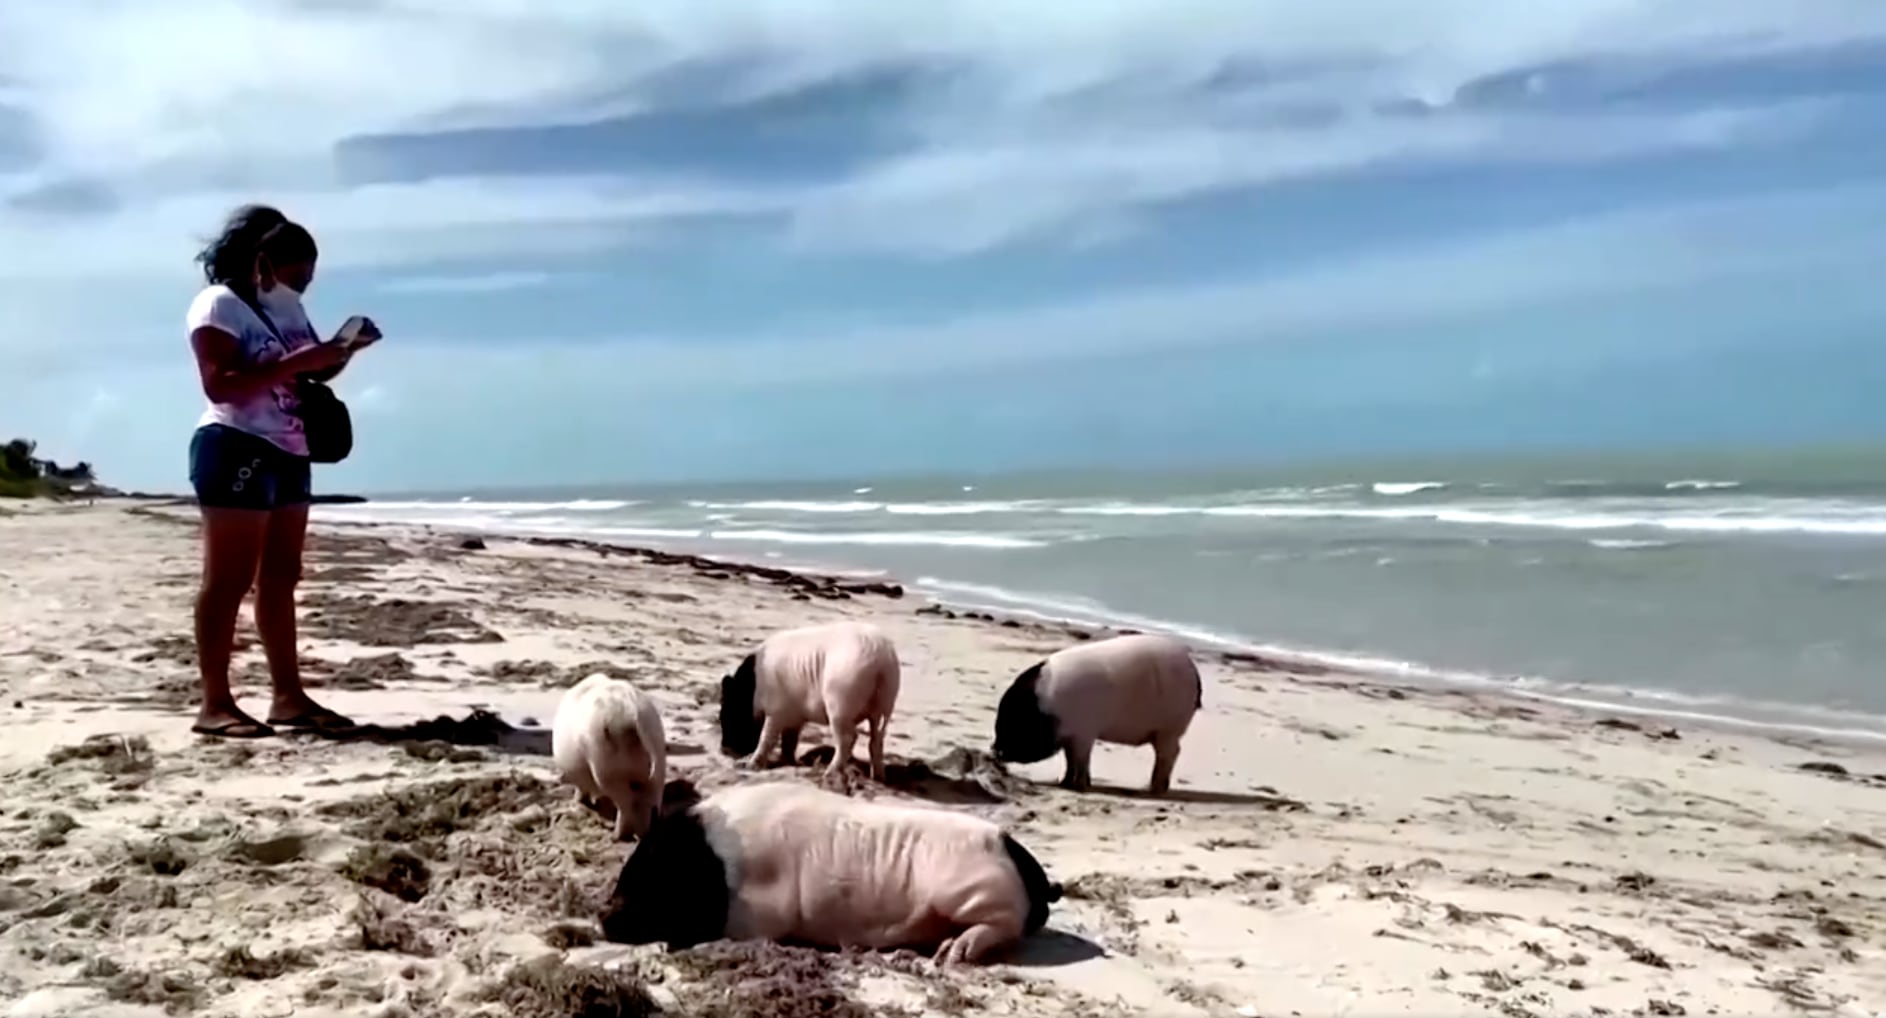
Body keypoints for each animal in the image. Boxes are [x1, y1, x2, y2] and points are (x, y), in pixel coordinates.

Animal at [551, 672, 668, 841]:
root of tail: (632, 712)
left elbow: (581, 789)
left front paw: (580, 802)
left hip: (607, 765)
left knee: (626, 803)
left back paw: (616, 836)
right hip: (658, 756)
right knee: (650, 799)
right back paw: (642, 835)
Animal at [599, 779, 1062, 964]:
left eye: (655, 875)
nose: (603, 915)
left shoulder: (763, 912)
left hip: (973, 888)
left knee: (1002, 925)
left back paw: (953, 955)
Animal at [718, 620, 900, 783]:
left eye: (727, 714)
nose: (724, 750)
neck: (753, 687)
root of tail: (880, 659)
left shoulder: (775, 711)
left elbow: (767, 737)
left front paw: (751, 765)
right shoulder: (795, 717)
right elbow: (790, 740)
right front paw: (789, 763)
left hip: (840, 700)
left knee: (848, 738)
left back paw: (829, 773)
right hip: (886, 702)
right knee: (876, 739)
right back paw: (878, 777)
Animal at [991, 633, 1202, 795]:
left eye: (1015, 722)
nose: (994, 749)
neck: (1046, 709)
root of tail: (1195, 673)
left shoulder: (1084, 733)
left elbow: (1081, 759)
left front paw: (1078, 787)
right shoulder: (1072, 736)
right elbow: (1070, 759)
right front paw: (1064, 783)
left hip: (1169, 729)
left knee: (1170, 754)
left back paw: (1152, 790)